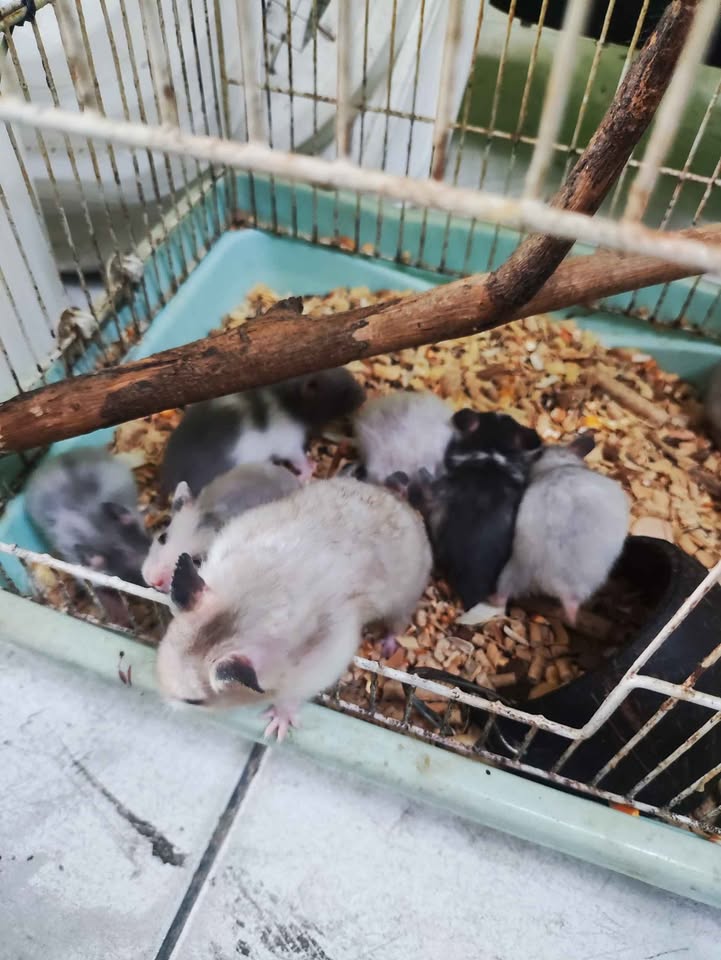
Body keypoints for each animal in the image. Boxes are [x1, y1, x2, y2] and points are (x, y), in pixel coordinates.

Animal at [155, 477, 432, 740]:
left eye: (194, 702)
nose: (163, 701)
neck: (250, 605)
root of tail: (406, 508)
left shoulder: (323, 662)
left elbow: (290, 697)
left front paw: (276, 727)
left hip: (404, 596)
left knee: (397, 624)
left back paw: (386, 646)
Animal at [161, 368, 365, 496]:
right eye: (344, 393)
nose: (363, 395)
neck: (287, 398)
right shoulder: (289, 442)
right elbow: (299, 458)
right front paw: (309, 468)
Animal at [494, 435, 630, 625]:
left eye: (539, 453)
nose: (522, 455)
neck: (558, 465)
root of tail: (545, 576)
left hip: (515, 568)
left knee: (503, 591)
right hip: (581, 581)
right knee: (572, 603)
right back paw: (572, 619)